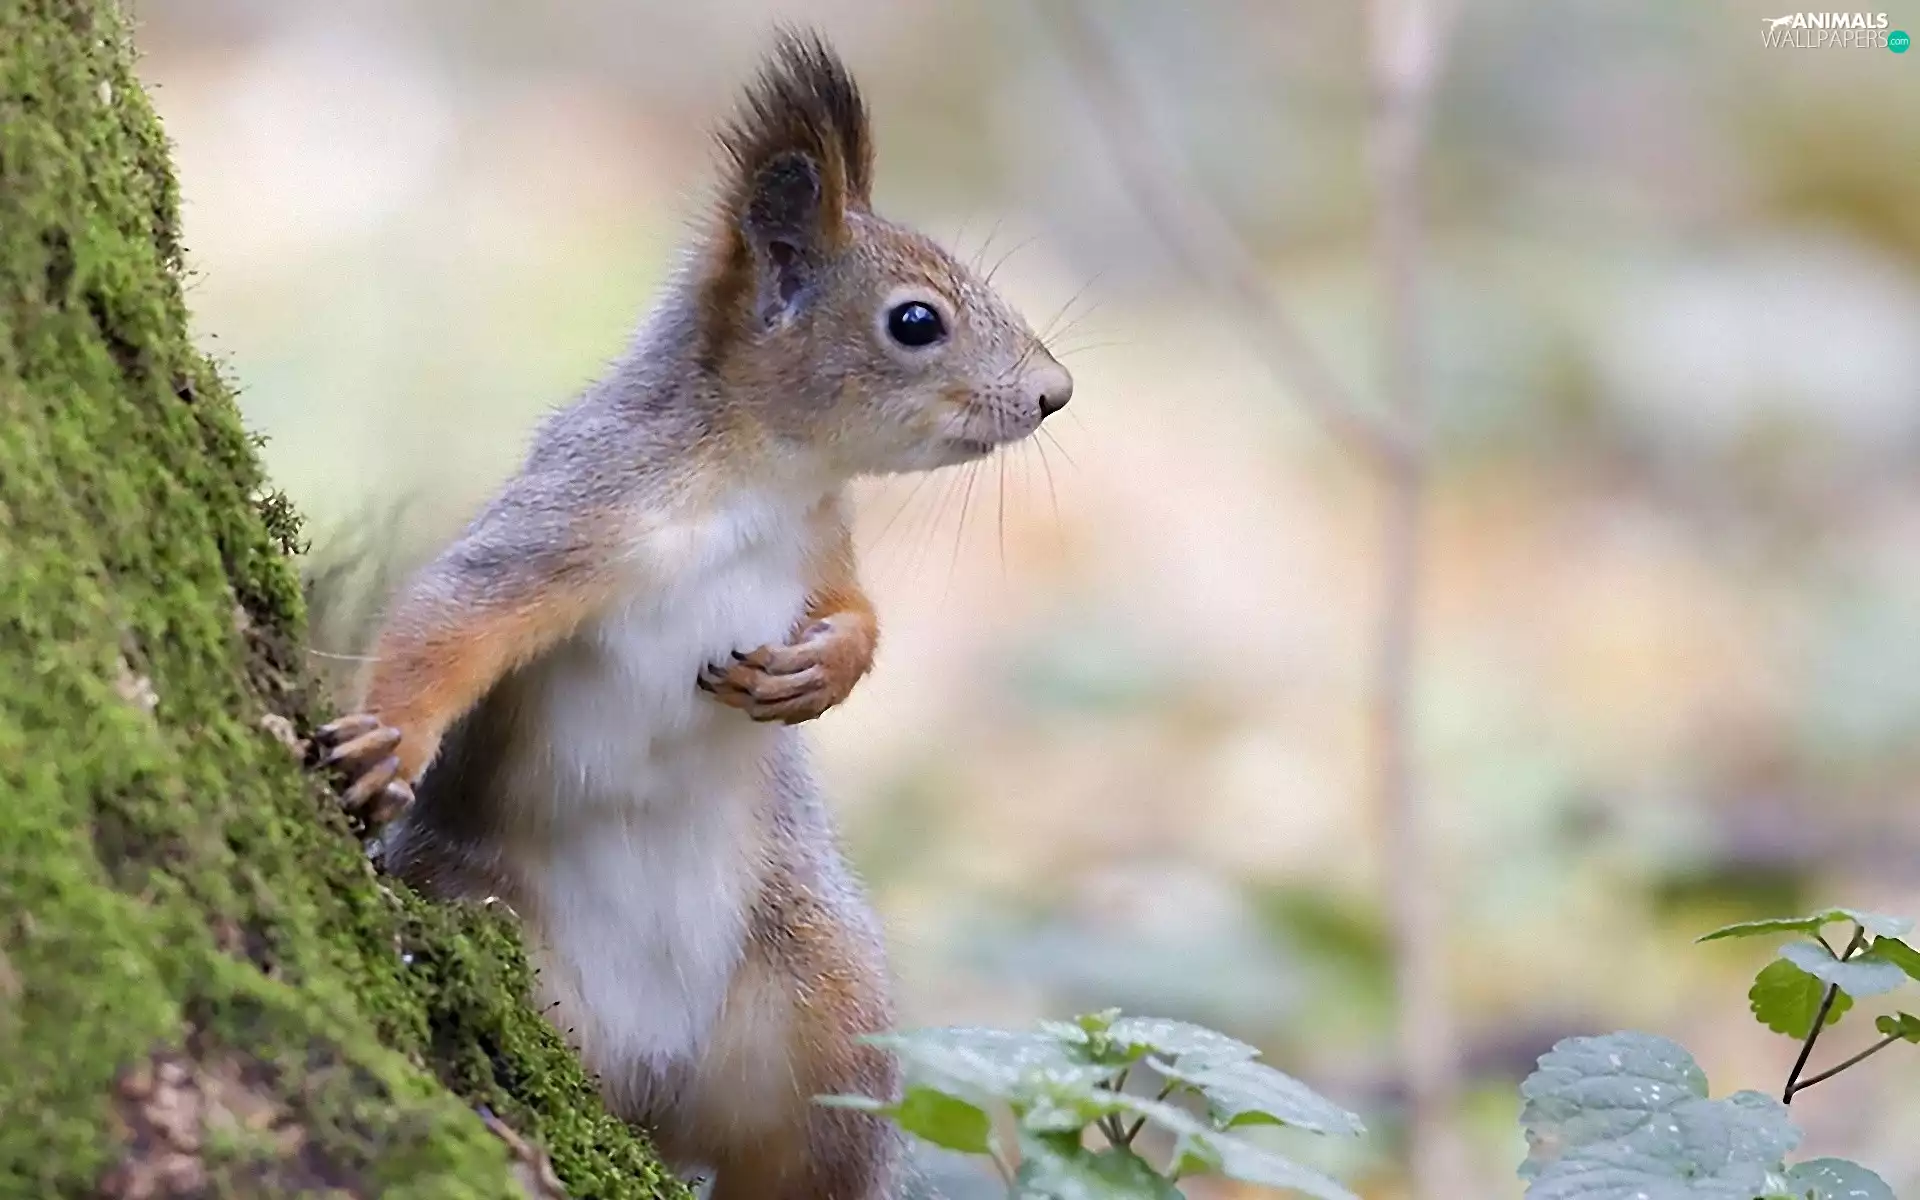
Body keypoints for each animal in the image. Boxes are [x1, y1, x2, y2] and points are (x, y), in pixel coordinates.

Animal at [310, 28, 1071, 1200]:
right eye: (915, 321)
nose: (1054, 392)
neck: (757, 482)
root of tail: (653, 1088)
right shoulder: (577, 515)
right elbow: (455, 613)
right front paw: (388, 741)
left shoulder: (821, 544)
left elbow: (857, 612)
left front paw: (819, 671)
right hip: (491, 919)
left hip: (824, 1004)